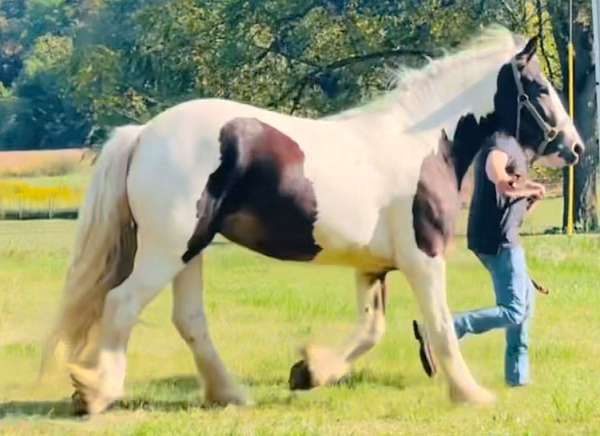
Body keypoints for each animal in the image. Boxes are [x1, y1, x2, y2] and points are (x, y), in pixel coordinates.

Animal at [43, 29, 584, 414]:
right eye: (539, 87)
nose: (576, 146)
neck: (425, 145)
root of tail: (143, 135)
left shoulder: (373, 268)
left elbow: (370, 330)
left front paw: (309, 372)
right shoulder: (423, 258)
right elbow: (439, 327)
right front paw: (471, 394)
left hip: (189, 250)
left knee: (189, 320)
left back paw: (230, 395)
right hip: (167, 249)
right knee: (121, 304)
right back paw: (94, 393)